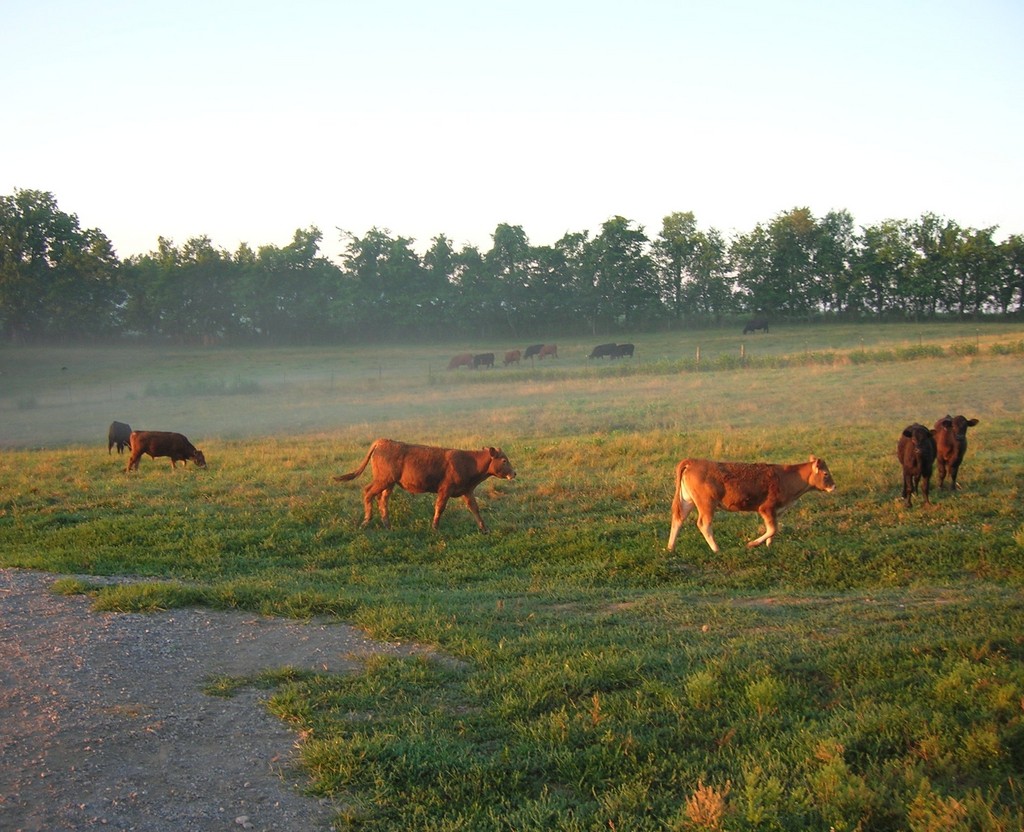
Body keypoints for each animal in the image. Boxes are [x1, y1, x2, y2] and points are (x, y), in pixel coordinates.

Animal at [333, 436, 516, 532]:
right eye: (504, 460)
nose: (514, 473)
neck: (469, 462)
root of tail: (382, 441)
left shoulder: (466, 490)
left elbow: (475, 509)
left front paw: (484, 529)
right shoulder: (445, 489)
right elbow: (440, 507)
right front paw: (435, 527)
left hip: (389, 483)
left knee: (382, 500)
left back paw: (387, 525)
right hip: (383, 479)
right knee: (368, 492)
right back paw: (366, 521)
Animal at [667, 454, 835, 553]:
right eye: (826, 473)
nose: (833, 486)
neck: (786, 477)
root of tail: (693, 462)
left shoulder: (776, 511)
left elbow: (773, 530)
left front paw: (768, 545)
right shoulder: (766, 508)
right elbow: (773, 529)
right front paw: (752, 544)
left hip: (687, 500)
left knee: (678, 519)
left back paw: (670, 547)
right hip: (706, 503)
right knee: (704, 524)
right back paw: (716, 549)